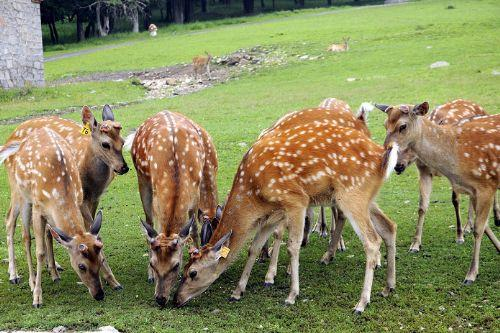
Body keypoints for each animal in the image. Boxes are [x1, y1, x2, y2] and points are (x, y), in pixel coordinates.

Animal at [0, 127, 108, 306]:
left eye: (100, 261)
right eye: (81, 266)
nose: (99, 294)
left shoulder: (77, 201)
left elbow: (52, 235)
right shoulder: (38, 208)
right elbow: (40, 252)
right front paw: (37, 297)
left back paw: (53, 271)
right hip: (21, 194)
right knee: (20, 231)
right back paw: (20, 277)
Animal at [2, 105, 128, 288]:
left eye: (123, 141)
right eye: (105, 144)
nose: (123, 167)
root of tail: (9, 138)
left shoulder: (93, 198)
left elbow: (91, 231)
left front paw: (110, 279)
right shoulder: (81, 200)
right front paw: (111, 279)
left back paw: (53, 266)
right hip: (16, 188)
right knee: (10, 219)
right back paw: (14, 274)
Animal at [125, 111, 219, 306]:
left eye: (176, 265)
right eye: (152, 263)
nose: (161, 299)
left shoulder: (195, 197)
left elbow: (194, 230)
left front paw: (195, 255)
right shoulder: (157, 199)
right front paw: (150, 275)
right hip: (142, 178)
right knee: (148, 219)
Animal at [174, 106, 396, 314]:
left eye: (192, 273)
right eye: (183, 270)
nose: (176, 299)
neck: (253, 193)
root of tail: (382, 157)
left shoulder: (295, 200)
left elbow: (292, 245)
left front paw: (291, 294)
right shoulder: (273, 214)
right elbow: (254, 247)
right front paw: (237, 291)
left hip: (351, 195)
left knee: (372, 241)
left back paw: (361, 302)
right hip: (364, 198)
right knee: (389, 227)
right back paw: (388, 287)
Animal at [378, 100, 500, 284]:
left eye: (402, 126)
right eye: (385, 124)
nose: (387, 153)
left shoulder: (486, 184)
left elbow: (478, 229)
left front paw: (471, 274)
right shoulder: (471, 188)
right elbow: (482, 225)